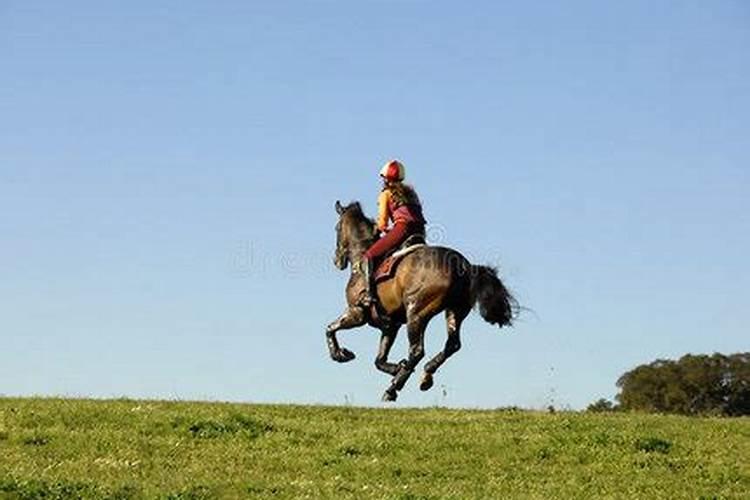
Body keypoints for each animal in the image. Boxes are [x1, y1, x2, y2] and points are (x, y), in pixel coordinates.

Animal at [326, 201, 520, 400]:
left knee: (417, 350)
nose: (336, 260)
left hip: (417, 312)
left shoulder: (357, 313)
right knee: (452, 344)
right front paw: (396, 367)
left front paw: (340, 354)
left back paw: (393, 388)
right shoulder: (390, 326)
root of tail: (464, 265)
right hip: (454, 310)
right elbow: (379, 360)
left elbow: (330, 329)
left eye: (337, 228)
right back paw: (425, 375)